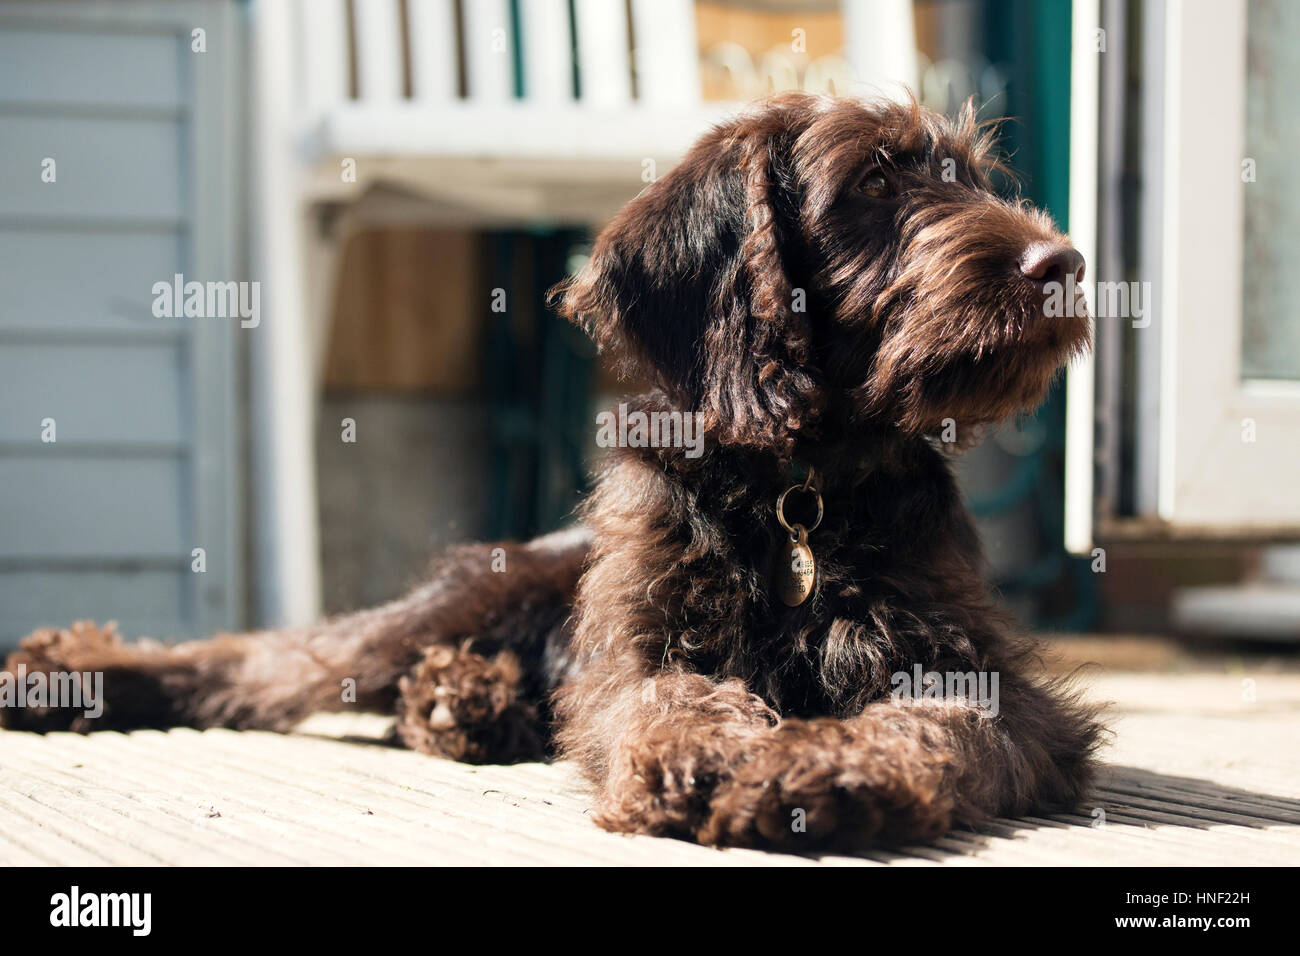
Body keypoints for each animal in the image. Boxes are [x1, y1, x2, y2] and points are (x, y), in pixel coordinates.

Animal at [2, 93, 1107, 848]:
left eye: (974, 176)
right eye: (875, 183)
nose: (1063, 264)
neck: (803, 483)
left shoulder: (988, 678)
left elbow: (932, 723)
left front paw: (819, 769)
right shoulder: (631, 652)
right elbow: (664, 699)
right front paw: (706, 752)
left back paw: (461, 698)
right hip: (463, 594)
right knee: (263, 660)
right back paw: (78, 673)